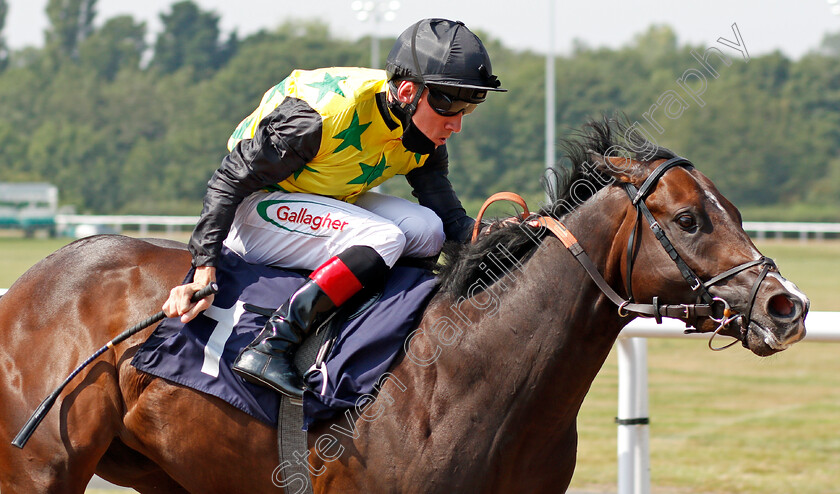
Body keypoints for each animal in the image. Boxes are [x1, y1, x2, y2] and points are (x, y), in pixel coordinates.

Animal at [0, 119, 808, 494]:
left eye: (736, 211)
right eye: (689, 221)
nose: (787, 305)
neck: (477, 368)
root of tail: (29, 284)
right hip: (39, 468)